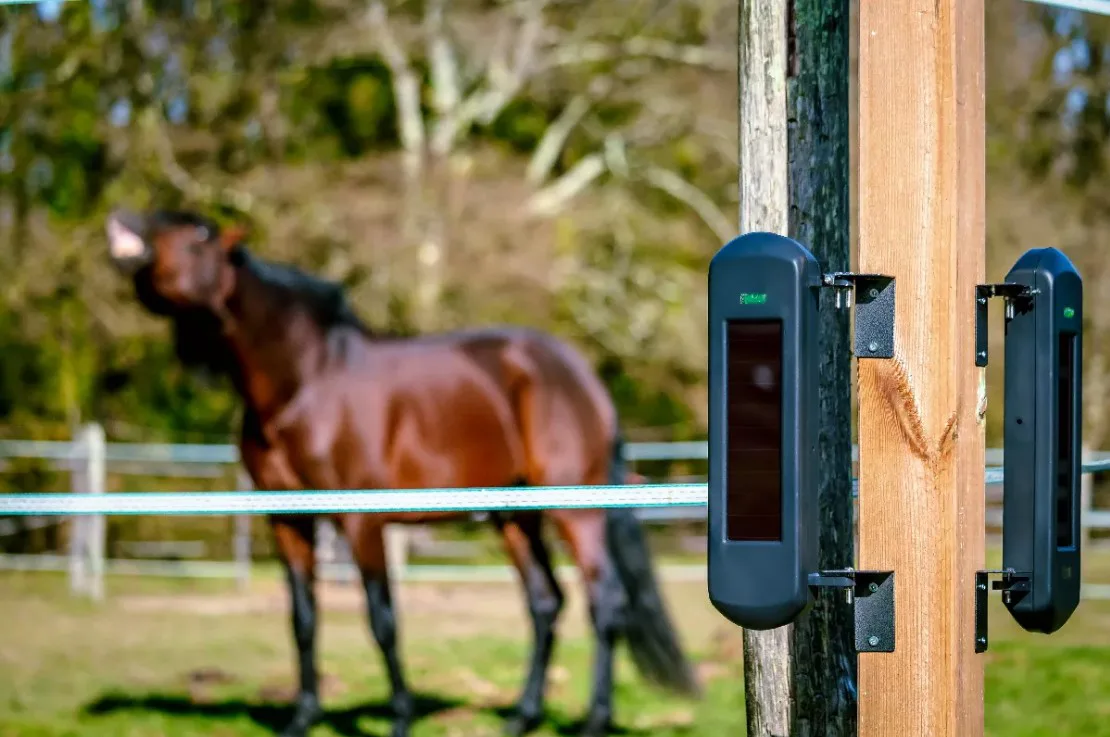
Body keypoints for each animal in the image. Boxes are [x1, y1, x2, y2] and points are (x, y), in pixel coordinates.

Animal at [104, 208, 700, 737]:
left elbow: (382, 619)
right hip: (514, 515)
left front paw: (399, 718)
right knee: (545, 602)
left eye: (199, 236)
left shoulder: (361, 521)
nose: (122, 224)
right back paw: (521, 718)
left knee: (606, 602)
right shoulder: (287, 519)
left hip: (578, 510)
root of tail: (583, 376)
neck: (305, 384)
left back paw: (594, 720)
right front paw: (301, 718)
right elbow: (303, 620)